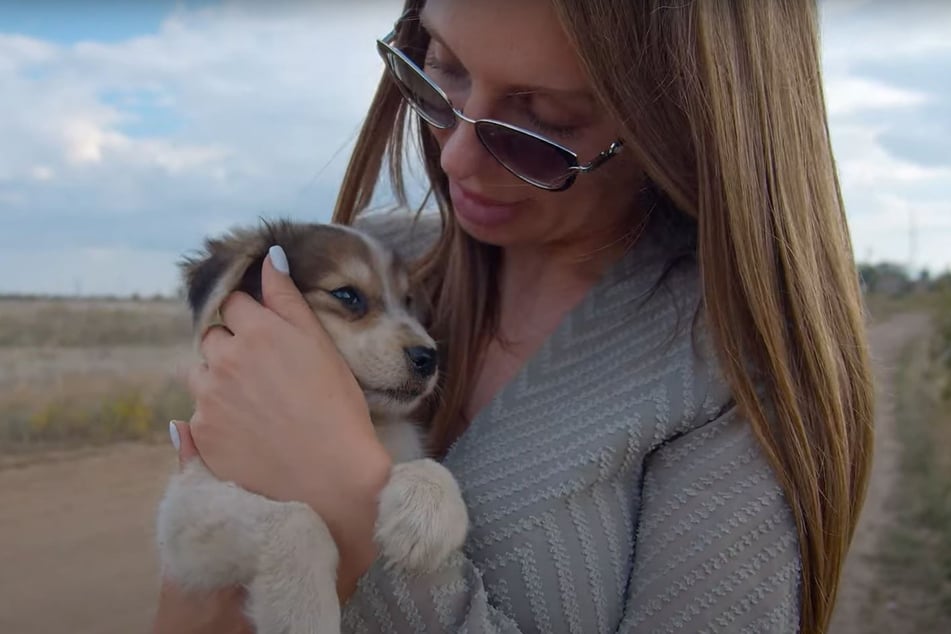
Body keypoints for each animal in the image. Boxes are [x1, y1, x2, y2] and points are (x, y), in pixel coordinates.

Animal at [155, 218, 468, 632]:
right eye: (347, 295)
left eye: (409, 302)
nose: (429, 358)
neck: (373, 419)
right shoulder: (186, 507)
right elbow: (297, 519)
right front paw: (302, 610)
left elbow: (431, 465)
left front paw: (428, 512)